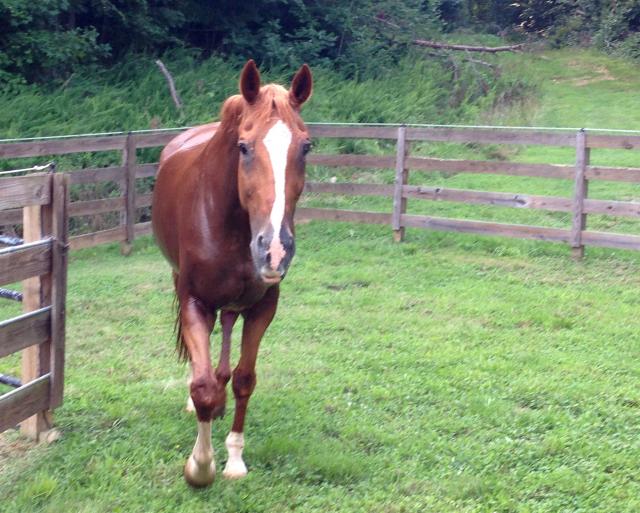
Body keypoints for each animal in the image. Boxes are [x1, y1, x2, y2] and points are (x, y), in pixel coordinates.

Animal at [152, 60, 313, 486]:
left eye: (306, 146)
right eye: (243, 147)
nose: (275, 249)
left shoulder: (263, 306)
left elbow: (244, 378)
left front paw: (234, 458)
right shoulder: (195, 301)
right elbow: (203, 385)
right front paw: (200, 466)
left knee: (225, 340)